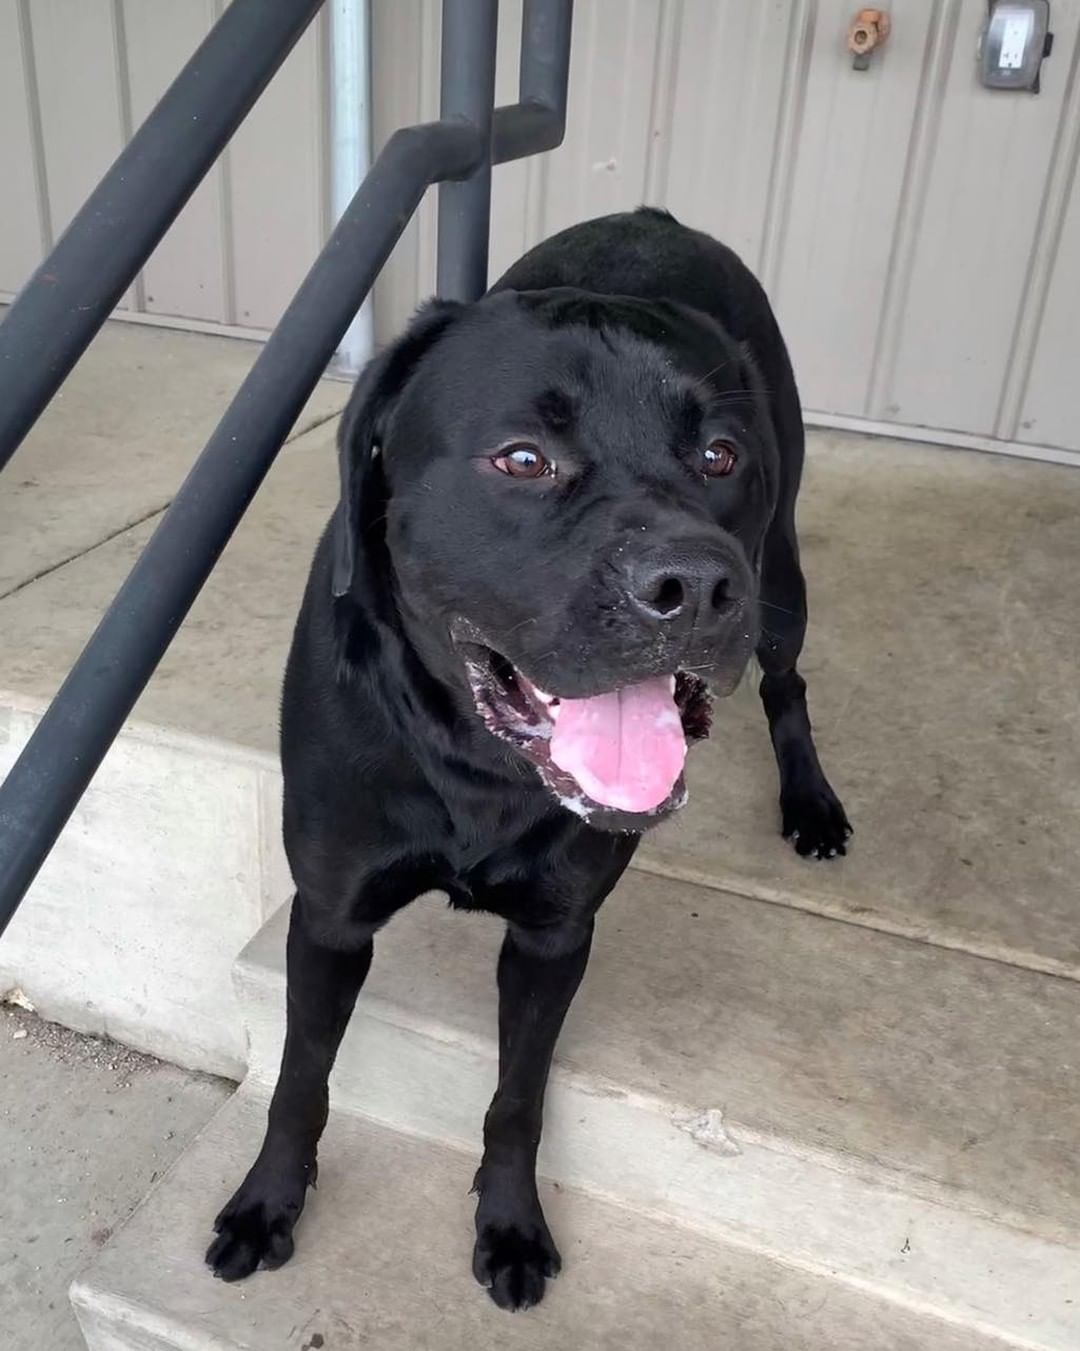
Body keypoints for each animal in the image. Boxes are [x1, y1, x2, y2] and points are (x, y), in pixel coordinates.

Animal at [206, 208, 848, 1307]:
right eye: (521, 460)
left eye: (719, 454)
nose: (695, 585)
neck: (477, 762)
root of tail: (653, 217)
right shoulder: (329, 916)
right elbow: (300, 1077)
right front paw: (269, 1202)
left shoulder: (555, 934)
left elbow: (519, 1093)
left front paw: (509, 1223)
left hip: (784, 581)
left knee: (787, 684)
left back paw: (811, 802)